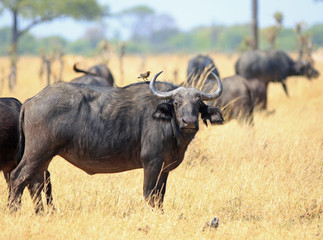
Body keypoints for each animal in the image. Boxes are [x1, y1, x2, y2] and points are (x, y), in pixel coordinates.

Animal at [8, 71, 224, 212]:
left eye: (198, 104)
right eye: (177, 103)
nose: (189, 122)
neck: (169, 122)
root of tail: (31, 100)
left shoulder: (164, 168)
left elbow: (160, 196)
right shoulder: (152, 162)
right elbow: (150, 194)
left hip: (45, 156)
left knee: (35, 183)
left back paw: (40, 213)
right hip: (38, 152)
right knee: (17, 177)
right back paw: (13, 210)